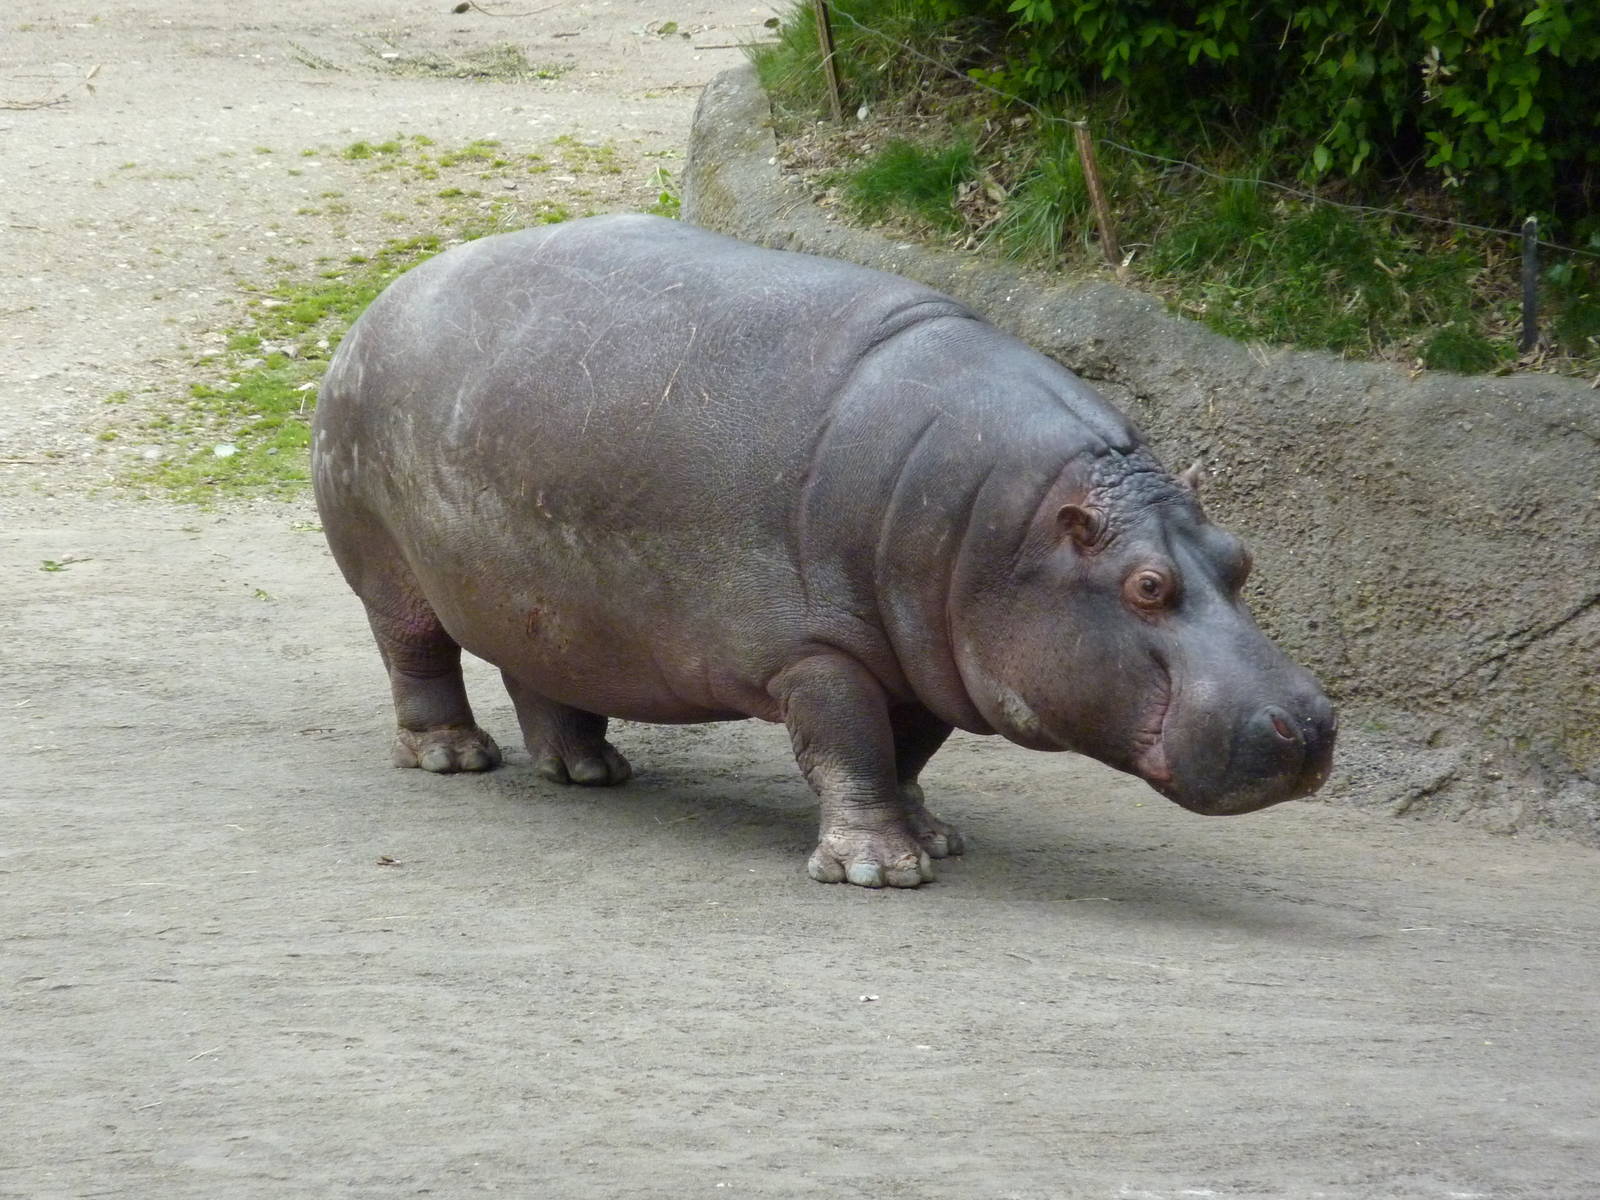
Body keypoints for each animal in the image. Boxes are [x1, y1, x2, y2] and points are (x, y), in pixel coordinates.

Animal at [312, 214, 1335, 888]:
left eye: (1240, 557)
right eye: (1148, 586)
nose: (1313, 721)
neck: (1012, 527)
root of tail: (387, 294)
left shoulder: (920, 658)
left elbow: (906, 752)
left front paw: (934, 836)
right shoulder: (819, 651)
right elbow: (850, 746)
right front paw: (882, 870)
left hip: (544, 595)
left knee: (544, 673)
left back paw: (589, 772)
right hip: (385, 567)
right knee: (416, 655)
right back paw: (453, 756)